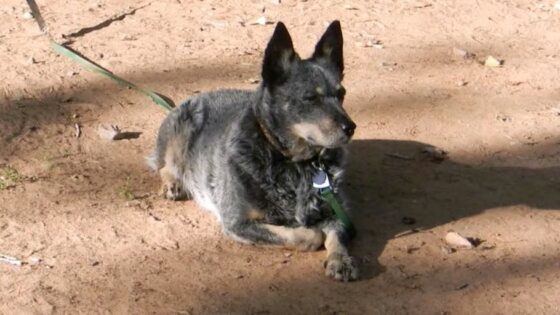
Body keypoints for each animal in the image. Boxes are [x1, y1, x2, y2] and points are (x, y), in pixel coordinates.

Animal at [148, 21, 358, 282]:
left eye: (342, 94)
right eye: (309, 97)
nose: (350, 127)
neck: (294, 163)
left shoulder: (338, 211)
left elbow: (337, 235)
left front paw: (341, 260)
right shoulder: (238, 222)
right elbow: (303, 235)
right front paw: (313, 233)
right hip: (181, 128)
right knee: (164, 164)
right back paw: (173, 183)